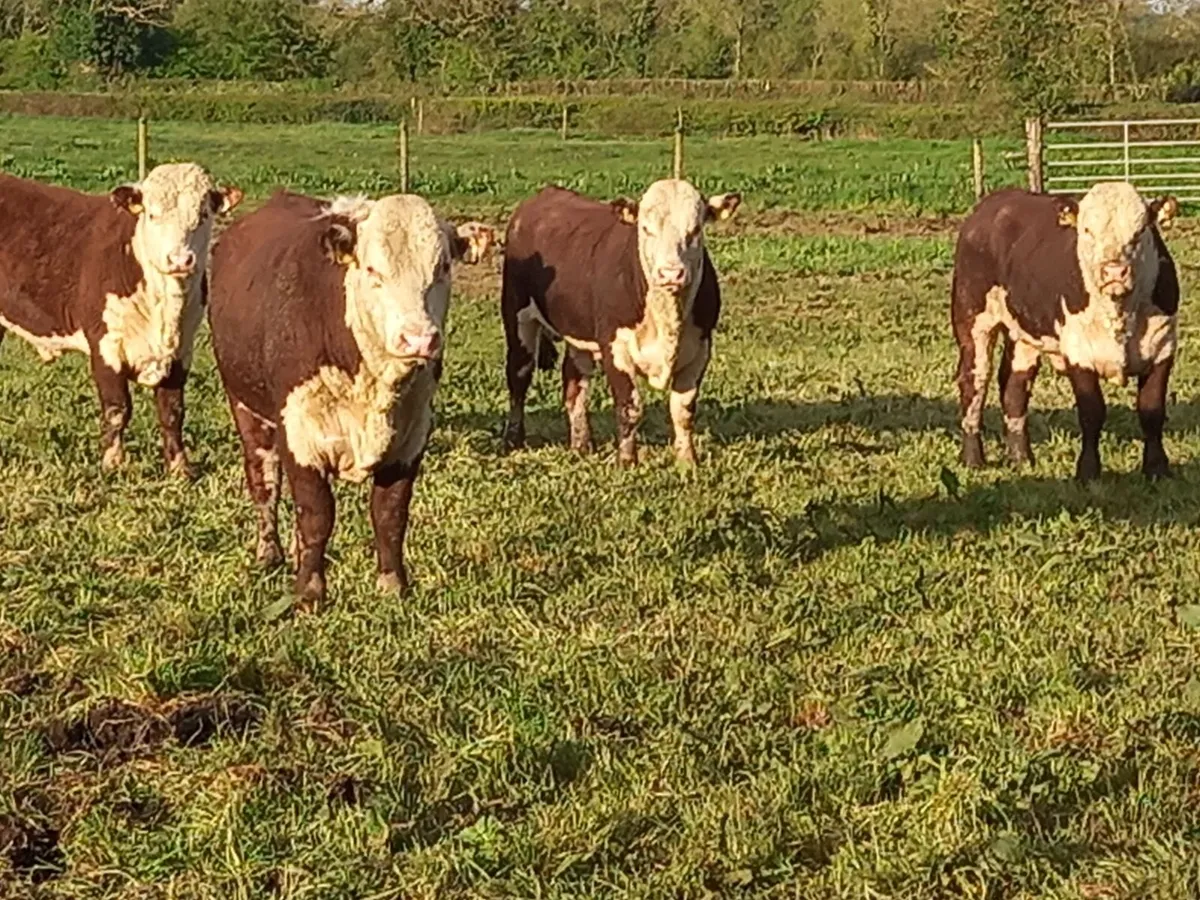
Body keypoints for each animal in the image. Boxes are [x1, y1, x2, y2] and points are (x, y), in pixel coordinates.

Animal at [0, 164, 242, 475]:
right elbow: (118, 409)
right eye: (152, 214)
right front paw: (112, 463)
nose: (179, 259)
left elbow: (172, 411)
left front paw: (179, 468)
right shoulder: (105, 344)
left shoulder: (182, 349)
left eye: (203, 215)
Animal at [208, 191, 493, 608]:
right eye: (373, 270)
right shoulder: (299, 433)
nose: (419, 338)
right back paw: (270, 551)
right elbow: (316, 514)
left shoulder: (412, 435)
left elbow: (390, 513)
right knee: (264, 479)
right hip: (245, 406)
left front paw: (392, 585)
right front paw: (310, 593)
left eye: (442, 266)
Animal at [500, 179, 741, 466]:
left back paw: (581, 445)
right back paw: (513, 439)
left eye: (695, 229)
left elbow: (683, 410)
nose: (671, 273)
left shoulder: (700, 350)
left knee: (574, 382)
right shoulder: (615, 348)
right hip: (517, 317)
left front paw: (687, 461)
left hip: (578, 334)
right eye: (646, 229)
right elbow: (629, 407)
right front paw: (627, 461)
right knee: (519, 376)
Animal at [952, 182, 1180, 482]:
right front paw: (1088, 471)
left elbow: (1152, 411)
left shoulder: (1163, 346)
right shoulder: (1079, 352)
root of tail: (993, 203)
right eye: (1086, 230)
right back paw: (973, 458)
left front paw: (1156, 469)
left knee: (1014, 386)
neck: (1120, 313)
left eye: (1141, 230)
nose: (1113, 271)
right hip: (973, 320)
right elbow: (1092, 412)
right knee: (975, 381)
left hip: (1024, 332)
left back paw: (1021, 458)